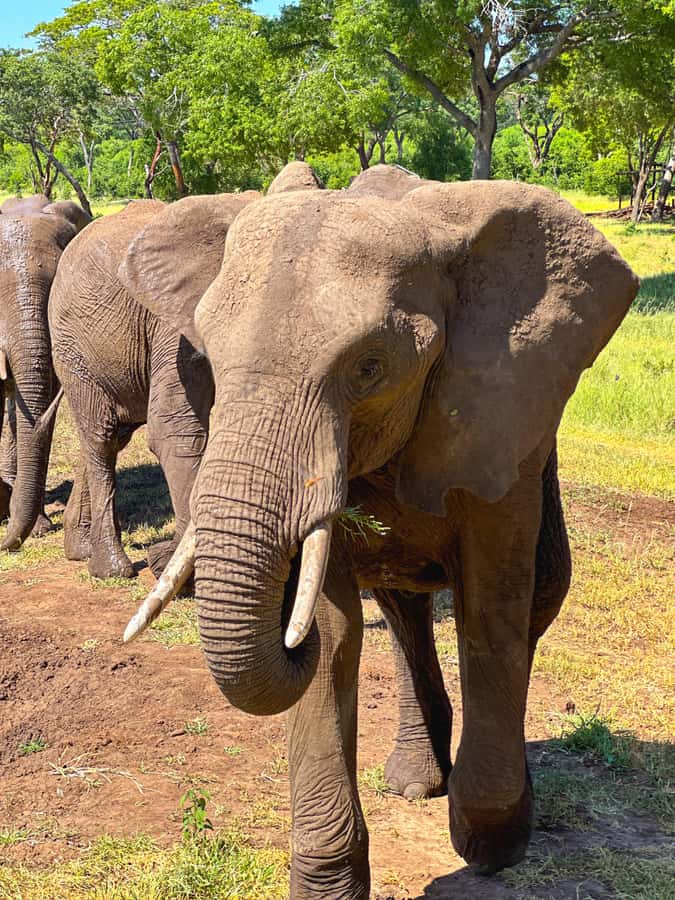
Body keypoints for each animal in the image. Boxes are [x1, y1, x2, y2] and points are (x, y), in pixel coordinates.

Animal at [48, 192, 259, 579]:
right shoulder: (174, 324)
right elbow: (175, 428)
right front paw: (177, 570)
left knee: (109, 435)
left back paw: (80, 550)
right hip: (71, 347)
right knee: (100, 437)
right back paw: (111, 569)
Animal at [124, 164, 639, 898]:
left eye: (369, 368)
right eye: (209, 360)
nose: (283, 619)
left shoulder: (501, 417)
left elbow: (491, 608)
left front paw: (490, 843)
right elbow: (336, 633)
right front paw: (325, 886)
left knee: (536, 597)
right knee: (400, 610)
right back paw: (415, 781)